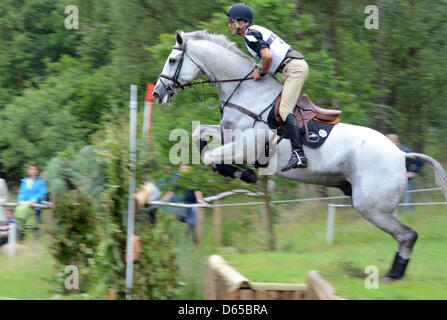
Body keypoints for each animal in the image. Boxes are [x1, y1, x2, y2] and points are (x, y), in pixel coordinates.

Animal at [153, 30, 447, 280]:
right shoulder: (227, 136)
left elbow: (210, 157)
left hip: (372, 206)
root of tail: (400, 155)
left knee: (407, 234)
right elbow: (198, 136)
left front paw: (245, 174)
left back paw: (393, 275)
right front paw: (235, 171)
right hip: (367, 202)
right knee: (406, 235)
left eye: (172, 59)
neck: (247, 93)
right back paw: (393, 273)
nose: (157, 94)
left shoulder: (248, 146)